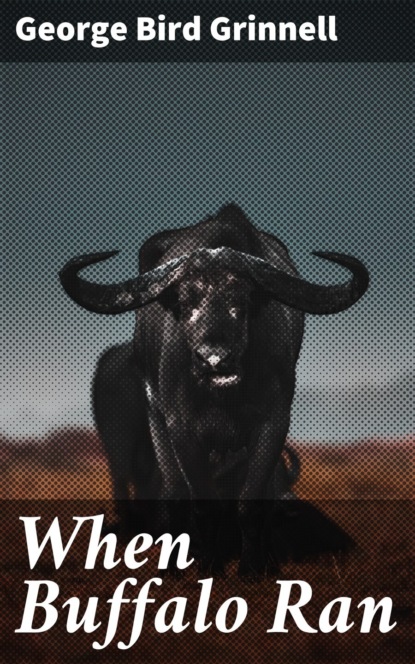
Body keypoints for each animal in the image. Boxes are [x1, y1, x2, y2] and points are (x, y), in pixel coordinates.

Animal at [60, 204, 369, 575]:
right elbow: (203, 502)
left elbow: (252, 502)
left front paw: (252, 568)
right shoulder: (181, 428)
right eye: (186, 302)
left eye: (242, 302)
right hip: (139, 431)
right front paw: (208, 565)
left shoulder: (274, 422)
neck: (223, 397)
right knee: (159, 490)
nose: (215, 359)